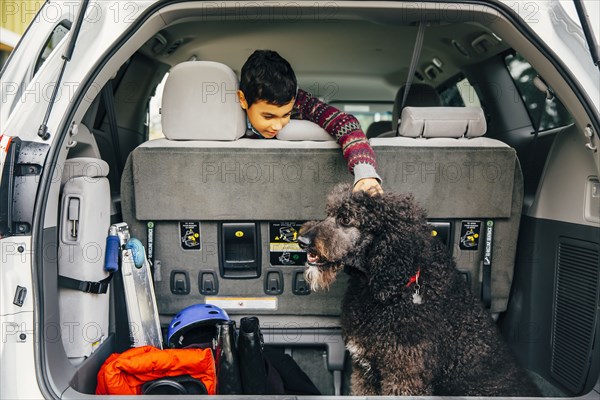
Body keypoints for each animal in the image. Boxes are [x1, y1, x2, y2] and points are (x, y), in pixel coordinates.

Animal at [298, 184, 540, 396]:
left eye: (346, 218)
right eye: (329, 213)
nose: (301, 240)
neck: (394, 288)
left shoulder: (404, 377)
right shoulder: (365, 371)